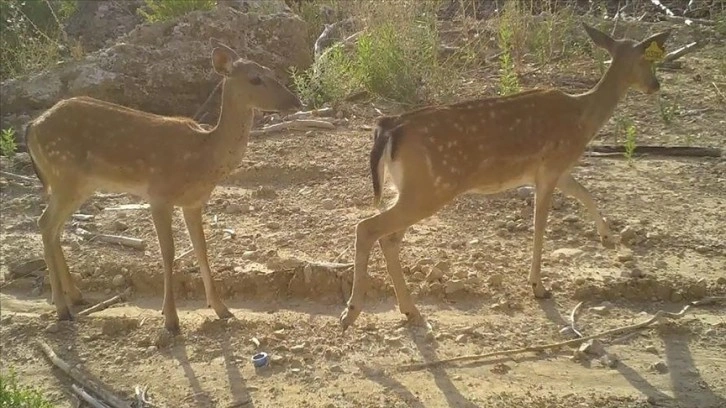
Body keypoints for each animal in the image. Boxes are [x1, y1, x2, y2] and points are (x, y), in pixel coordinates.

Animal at [27, 38, 302, 334]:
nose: (295, 100)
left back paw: (76, 296)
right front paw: (170, 319)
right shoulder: (159, 195)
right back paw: (62, 308)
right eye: (255, 78)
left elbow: (201, 249)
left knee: (54, 228)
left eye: (272, 72)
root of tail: (31, 126)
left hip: (79, 185)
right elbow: (168, 252)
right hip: (65, 175)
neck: (202, 156)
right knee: (45, 224)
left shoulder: (193, 203)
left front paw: (222, 309)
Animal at [342, 23, 672, 332]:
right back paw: (352, 312)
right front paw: (538, 286)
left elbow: (584, 192)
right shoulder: (550, 167)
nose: (655, 85)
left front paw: (608, 237)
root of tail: (389, 127)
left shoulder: (559, 170)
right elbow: (540, 225)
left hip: (412, 189)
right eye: (648, 60)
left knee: (389, 238)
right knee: (368, 228)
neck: (583, 117)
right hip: (429, 189)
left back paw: (410, 310)